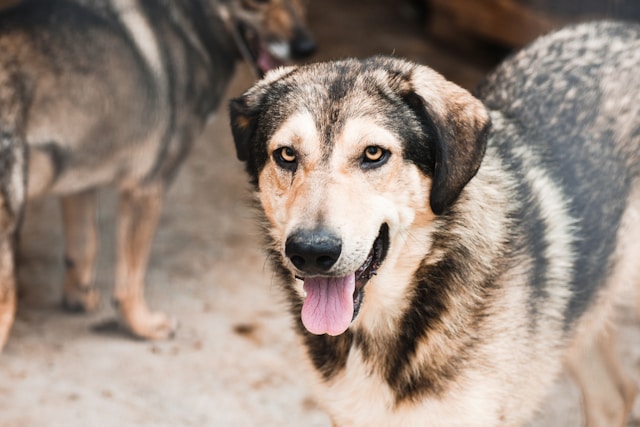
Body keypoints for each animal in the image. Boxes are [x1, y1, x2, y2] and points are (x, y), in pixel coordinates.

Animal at [0, 0, 316, 352]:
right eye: (257, 2)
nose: (306, 48)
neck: (186, 20)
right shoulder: (146, 189)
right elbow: (131, 277)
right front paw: (142, 325)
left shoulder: (79, 177)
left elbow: (84, 246)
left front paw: (78, 297)